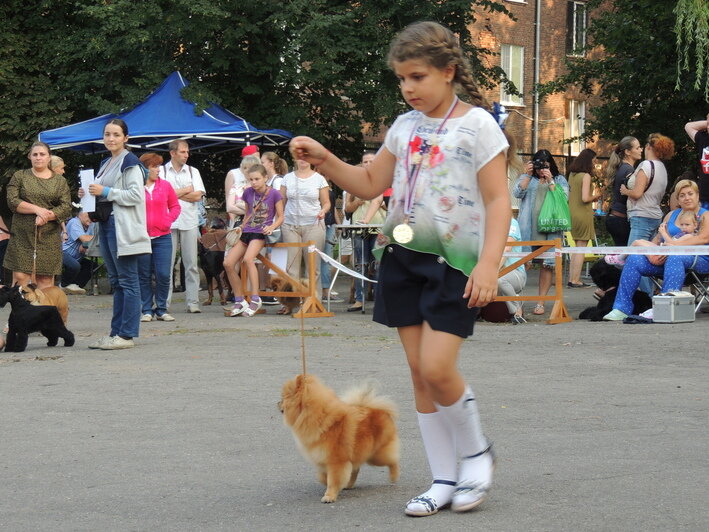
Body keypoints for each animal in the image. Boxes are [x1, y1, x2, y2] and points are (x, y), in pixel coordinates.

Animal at [278, 374, 398, 502]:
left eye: (283, 398)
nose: (278, 402)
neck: (319, 418)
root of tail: (380, 410)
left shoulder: (336, 461)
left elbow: (333, 480)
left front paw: (329, 496)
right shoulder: (322, 458)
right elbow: (322, 477)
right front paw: (328, 484)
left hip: (376, 456)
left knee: (393, 461)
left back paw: (394, 476)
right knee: (355, 469)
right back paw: (349, 484)